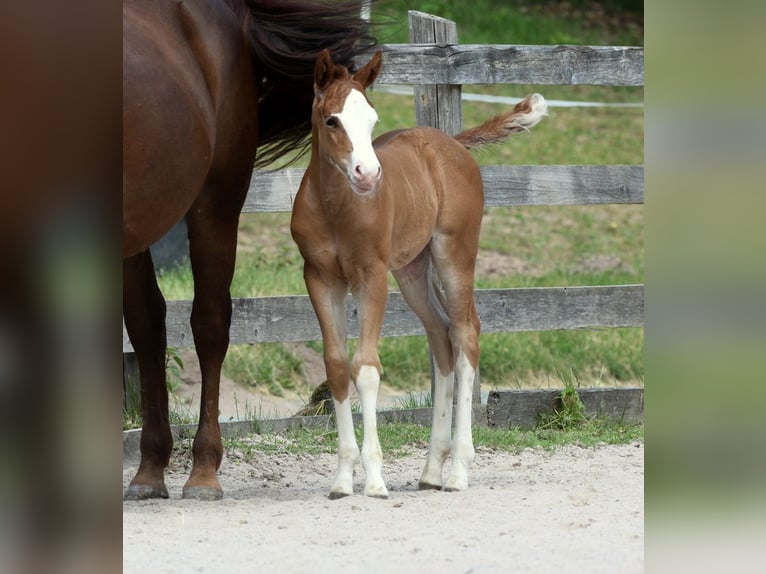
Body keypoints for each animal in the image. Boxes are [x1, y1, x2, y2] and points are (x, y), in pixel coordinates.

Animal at [290, 49, 547, 498]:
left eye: (372, 119)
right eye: (332, 120)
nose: (368, 175)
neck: (336, 207)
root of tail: (453, 144)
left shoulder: (371, 275)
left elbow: (366, 369)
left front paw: (375, 480)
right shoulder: (320, 277)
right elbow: (337, 366)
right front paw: (342, 479)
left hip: (453, 254)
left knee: (465, 334)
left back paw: (458, 470)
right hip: (412, 269)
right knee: (441, 335)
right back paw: (431, 470)